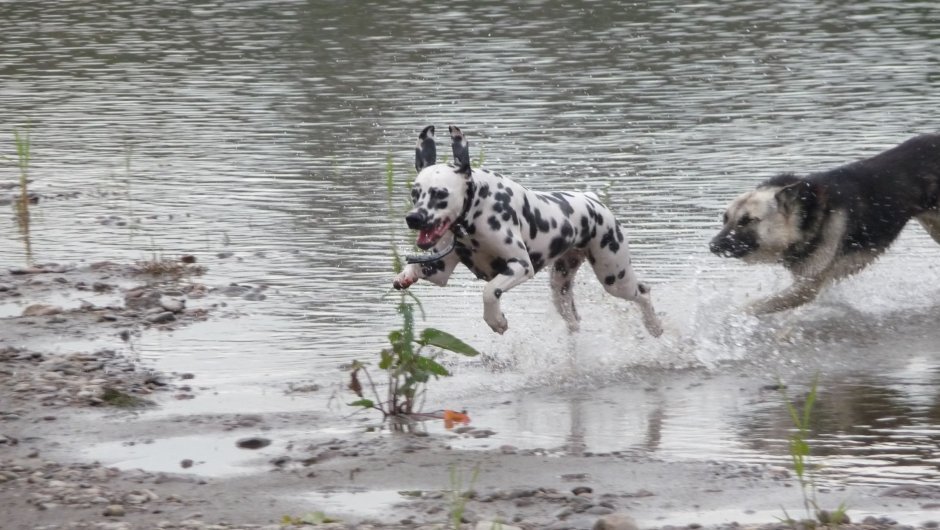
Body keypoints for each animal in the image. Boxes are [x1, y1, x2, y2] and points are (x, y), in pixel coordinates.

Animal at [392, 125, 664, 338]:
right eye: (415, 193)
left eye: (440, 194)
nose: (413, 218)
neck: (478, 209)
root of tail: (592, 200)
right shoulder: (439, 271)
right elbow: (417, 267)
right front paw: (406, 275)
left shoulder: (520, 266)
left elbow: (489, 292)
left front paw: (496, 320)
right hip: (560, 287)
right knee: (573, 319)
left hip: (615, 279)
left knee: (643, 292)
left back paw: (654, 326)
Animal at [712, 133, 940, 314]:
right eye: (726, 219)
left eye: (748, 220)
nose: (712, 246)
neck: (803, 216)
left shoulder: (806, 288)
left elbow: (754, 306)